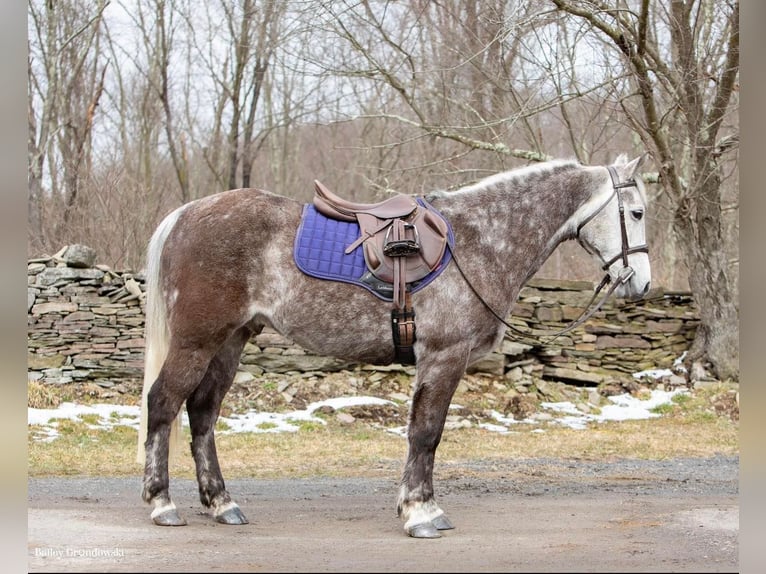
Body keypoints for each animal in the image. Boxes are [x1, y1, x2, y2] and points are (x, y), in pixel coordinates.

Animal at [138, 154, 656, 540]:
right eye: (636, 213)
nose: (642, 284)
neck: (480, 240)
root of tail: (186, 214)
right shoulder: (444, 357)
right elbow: (426, 433)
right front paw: (421, 512)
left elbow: (424, 435)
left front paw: (417, 506)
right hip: (197, 341)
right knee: (163, 403)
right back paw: (162, 503)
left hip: (229, 342)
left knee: (202, 412)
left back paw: (222, 503)